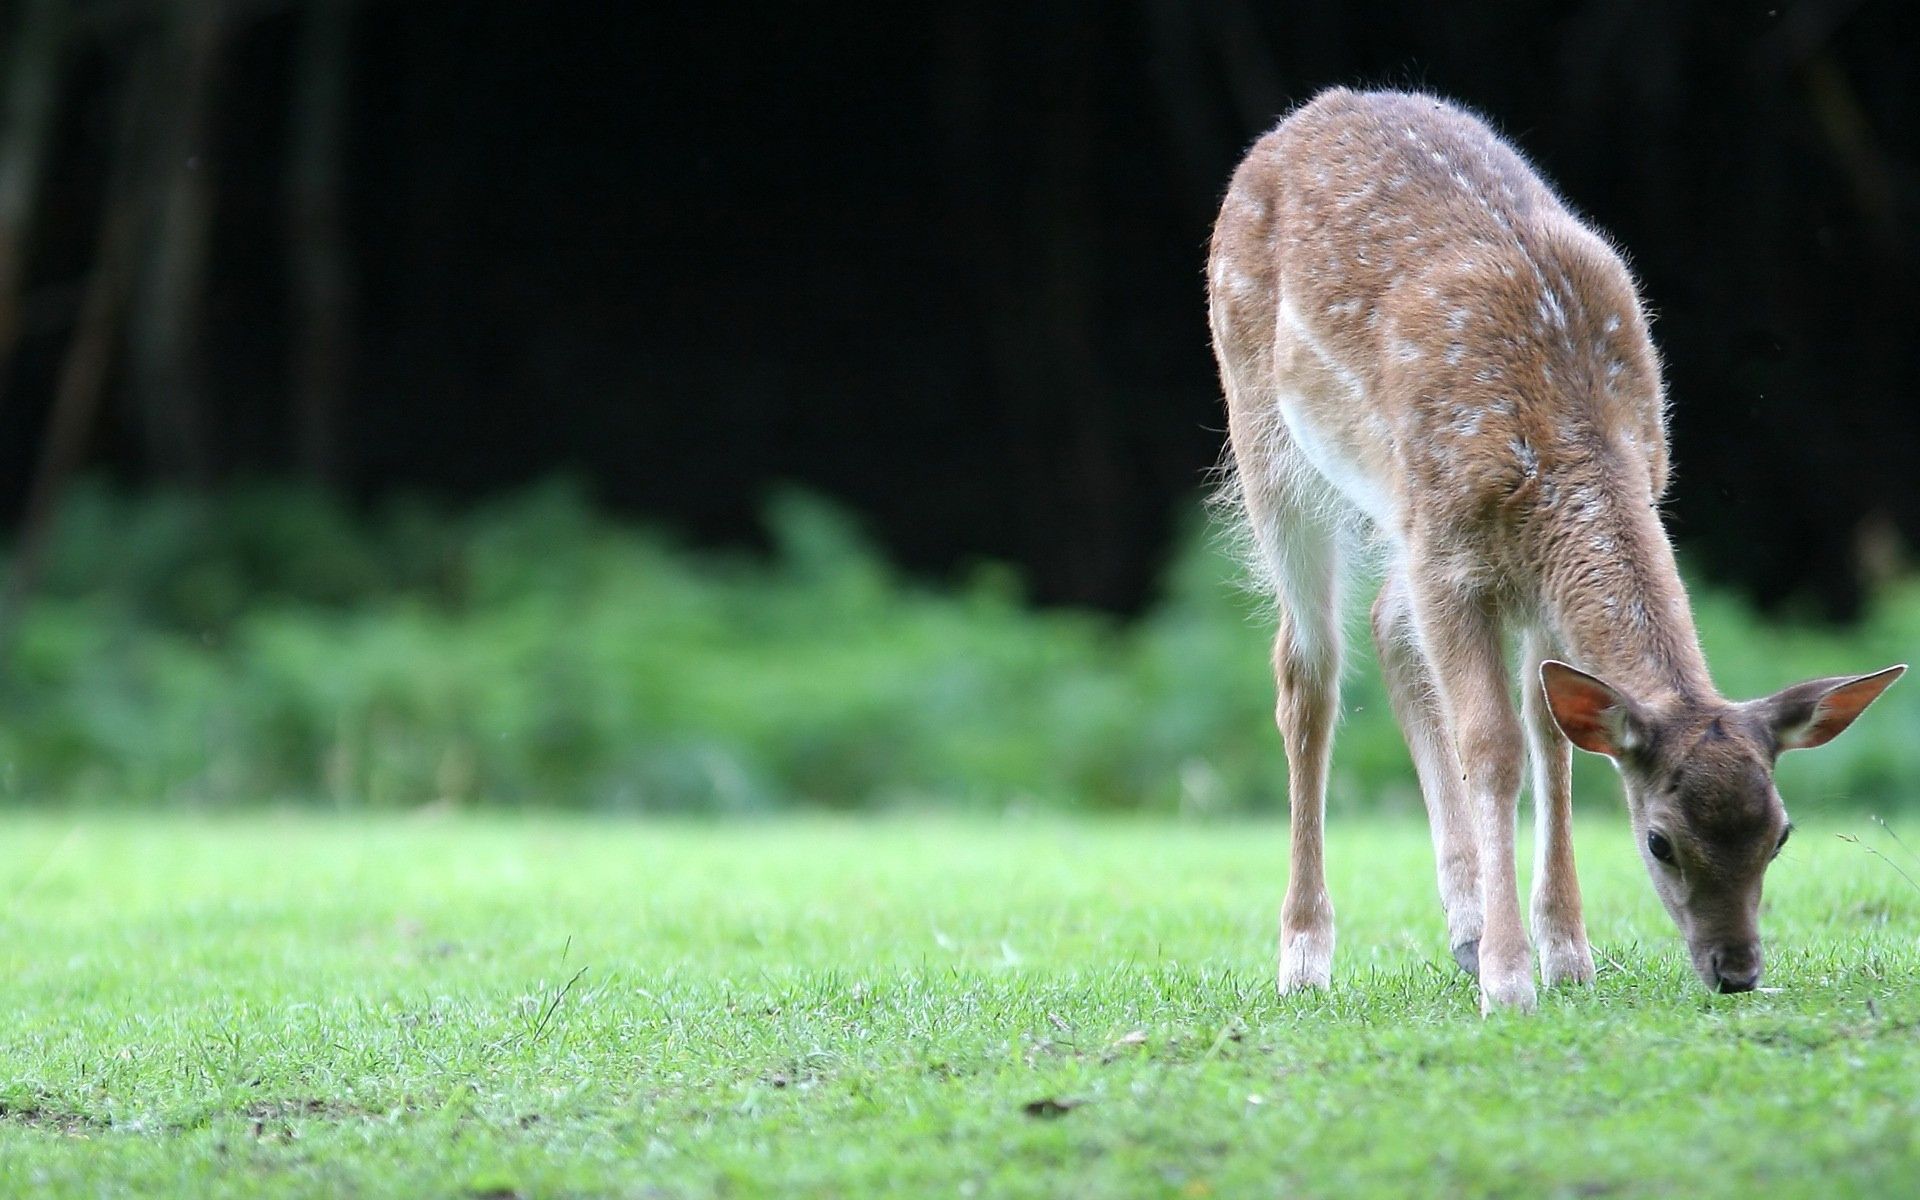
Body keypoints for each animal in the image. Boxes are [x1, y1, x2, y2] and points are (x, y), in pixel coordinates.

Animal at [1205, 88, 1896, 1013]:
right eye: (1659, 841)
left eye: (1781, 834)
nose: (1737, 971)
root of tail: (1304, 116)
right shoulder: (1450, 549)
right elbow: (1494, 747)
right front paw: (1510, 980)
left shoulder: (1527, 572)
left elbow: (1554, 735)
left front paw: (1567, 954)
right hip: (1265, 433)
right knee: (1306, 670)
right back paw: (1305, 957)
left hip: (1392, 512)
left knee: (1387, 621)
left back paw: (1460, 928)